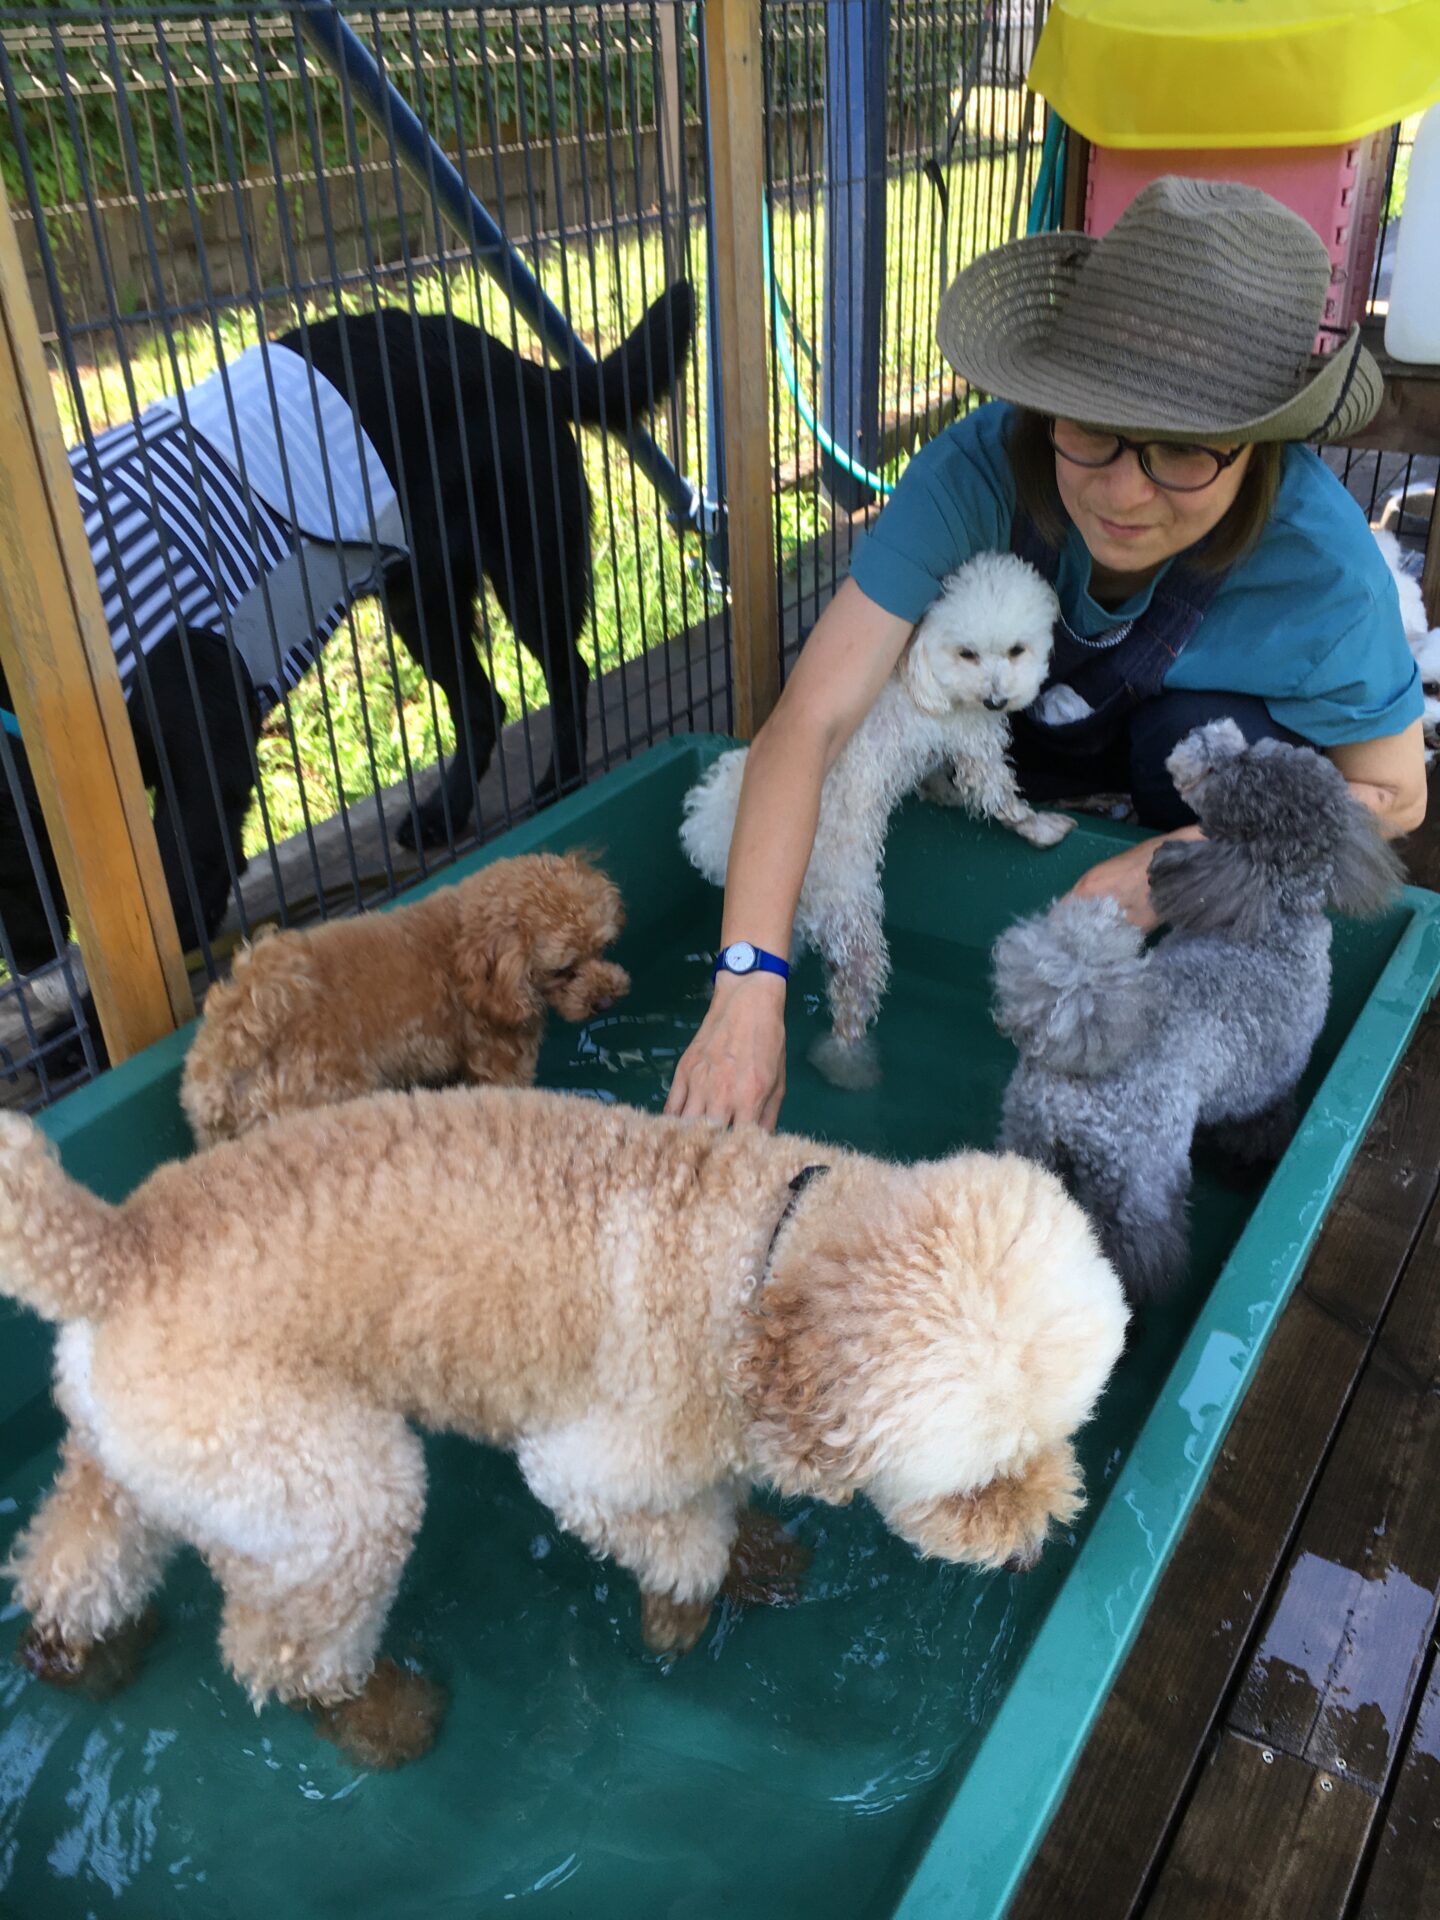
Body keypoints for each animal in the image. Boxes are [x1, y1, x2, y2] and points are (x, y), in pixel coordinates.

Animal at [0, 286, 695, 986]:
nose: (29, 962)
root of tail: (517, 364)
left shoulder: (201, 757)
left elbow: (182, 879)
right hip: (421, 600)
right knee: (482, 703)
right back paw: (443, 813)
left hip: (526, 573)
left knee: (566, 672)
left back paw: (560, 783)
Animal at [1, 1086, 1127, 1765]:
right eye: (976, 1484)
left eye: (1061, 1440)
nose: (1034, 1550)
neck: (758, 1261)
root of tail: (118, 1248)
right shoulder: (589, 1465)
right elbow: (684, 1540)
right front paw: (684, 1611)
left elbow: (722, 1501)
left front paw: (759, 1552)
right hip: (330, 1487)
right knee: (281, 1651)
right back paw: (384, 1714)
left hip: (161, 1457)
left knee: (78, 1555)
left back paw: (71, 1656)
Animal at [680, 552, 1071, 1089]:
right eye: (968, 653)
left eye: (1016, 650)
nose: (996, 699)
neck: (927, 677)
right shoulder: (974, 740)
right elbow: (997, 796)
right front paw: (1038, 827)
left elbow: (940, 778)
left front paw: (940, 795)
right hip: (853, 914)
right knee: (850, 1001)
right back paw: (848, 1065)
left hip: (799, 912)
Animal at [992, 720, 1404, 1304]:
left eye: (1234, 764)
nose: (1212, 732)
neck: (1273, 923)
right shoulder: (1268, 1085)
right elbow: (1259, 1129)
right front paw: (1250, 1164)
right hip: (1142, 1178)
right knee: (1136, 1250)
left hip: (1027, 1138)